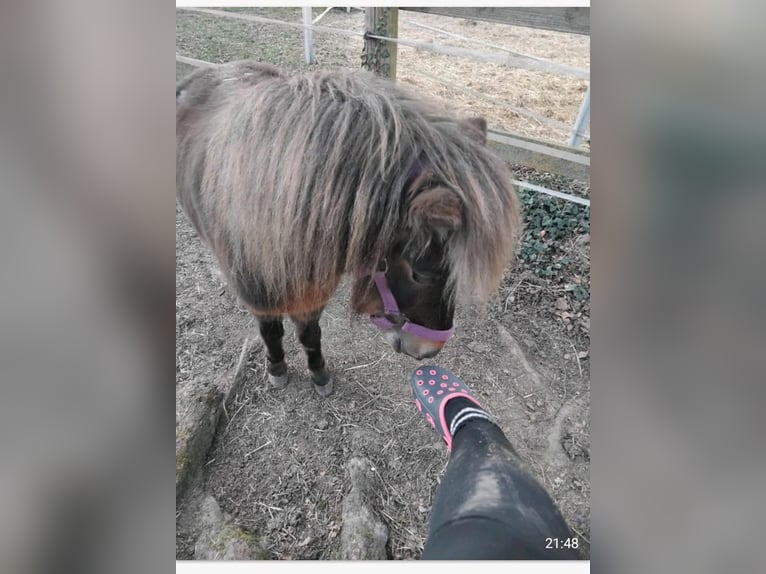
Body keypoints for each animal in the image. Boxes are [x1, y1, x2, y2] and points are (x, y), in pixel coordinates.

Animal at [176, 61, 521, 396]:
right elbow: (271, 332)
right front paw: (277, 369)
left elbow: (310, 333)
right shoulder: (257, 294)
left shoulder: (312, 288)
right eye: (420, 274)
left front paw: (318, 373)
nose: (430, 350)